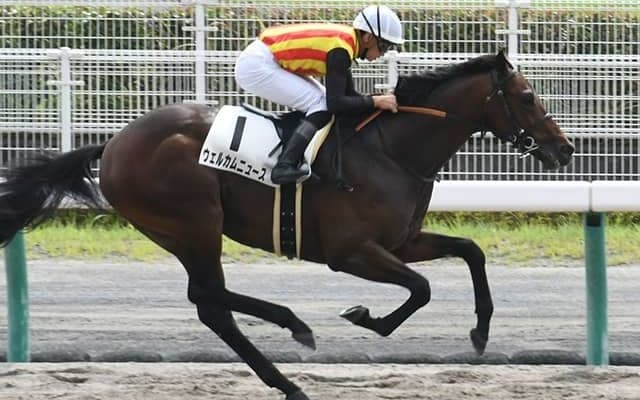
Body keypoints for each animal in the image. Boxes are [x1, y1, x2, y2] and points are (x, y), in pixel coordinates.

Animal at [0, 50, 573, 400]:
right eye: (527, 98)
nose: (564, 149)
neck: (391, 150)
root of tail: (114, 143)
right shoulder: (350, 252)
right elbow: (423, 288)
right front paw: (366, 317)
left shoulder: (402, 241)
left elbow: (470, 250)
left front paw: (479, 332)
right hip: (195, 223)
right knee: (208, 298)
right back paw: (293, 327)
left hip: (181, 231)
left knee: (210, 305)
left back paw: (287, 372)